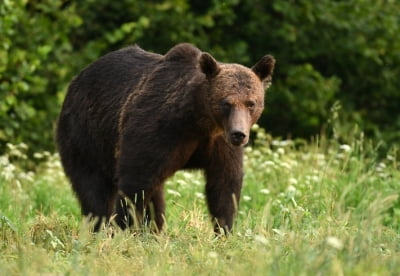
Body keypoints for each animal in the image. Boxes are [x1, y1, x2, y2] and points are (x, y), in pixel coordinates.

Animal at [56, 43, 276, 235]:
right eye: (226, 103)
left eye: (251, 103)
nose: (239, 134)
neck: (199, 120)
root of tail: (76, 80)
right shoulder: (157, 130)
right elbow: (135, 182)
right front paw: (123, 227)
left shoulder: (219, 143)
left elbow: (224, 184)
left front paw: (223, 230)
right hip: (85, 135)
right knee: (93, 187)